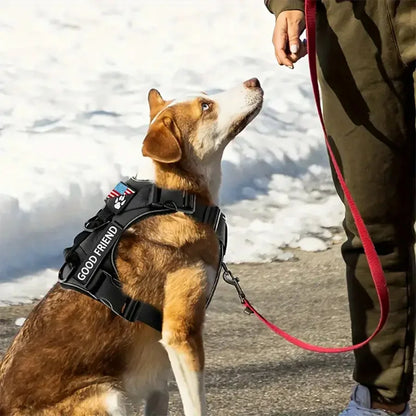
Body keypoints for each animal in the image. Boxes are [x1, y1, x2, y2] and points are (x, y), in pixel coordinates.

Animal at [0, 77, 264, 412]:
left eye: (205, 95)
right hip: (109, 396)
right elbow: (196, 407)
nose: (254, 80)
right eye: (206, 106)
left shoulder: (159, 379)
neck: (173, 199)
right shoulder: (181, 333)